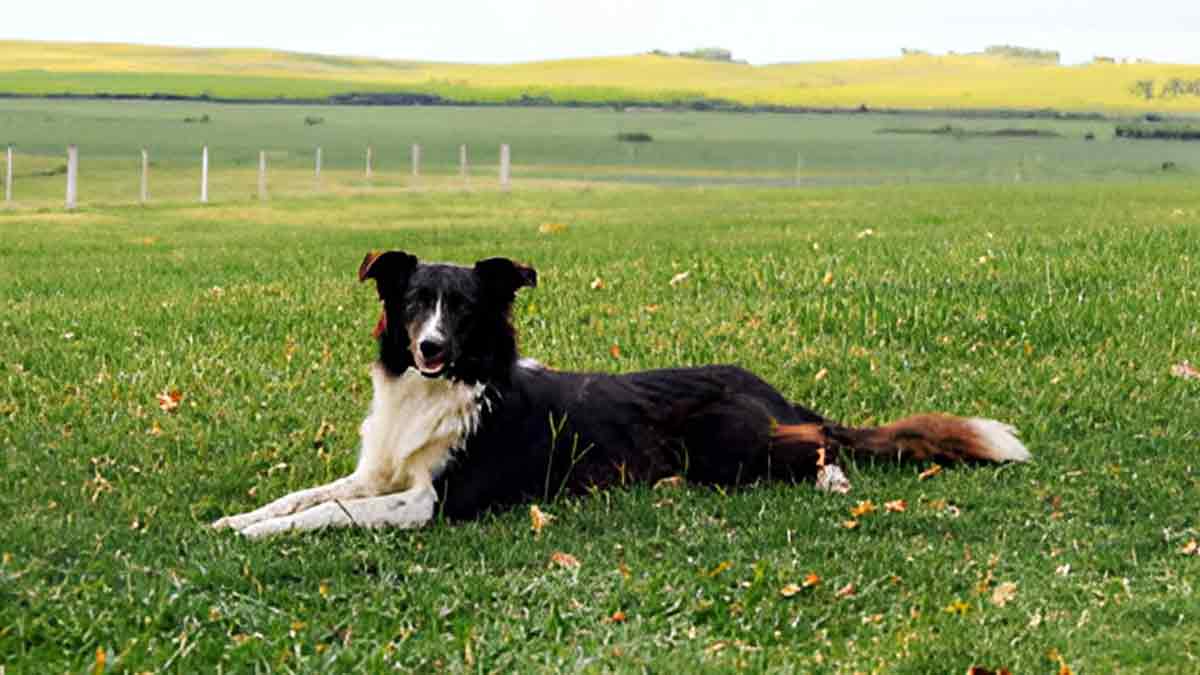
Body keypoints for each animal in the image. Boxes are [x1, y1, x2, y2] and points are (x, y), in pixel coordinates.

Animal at [213, 251, 1032, 535]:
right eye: (415, 303)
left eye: (466, 310)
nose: (431, 349)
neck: (446, 390)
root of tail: (775, 391)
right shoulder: (380, 471)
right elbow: (307, 496)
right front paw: (236, 520)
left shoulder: (432, 501)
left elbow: (339, 513)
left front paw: (257, 535)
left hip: (721, 438)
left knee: (817, 441)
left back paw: (831, 476)